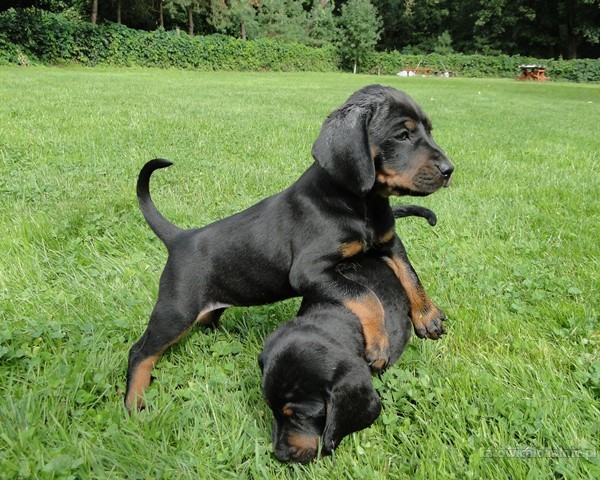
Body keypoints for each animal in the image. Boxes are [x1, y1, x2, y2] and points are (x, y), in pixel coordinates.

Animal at [125, 85, 453, 410]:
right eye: (402, 135)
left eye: (429, 131)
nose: (449, 170)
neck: (361, 205)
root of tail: (180, 238)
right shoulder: (308, 270)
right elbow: (364, 295)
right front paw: (379, 342)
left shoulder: (388, 242)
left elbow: (408, 272)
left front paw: (427, 316)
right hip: (176, 311)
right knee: (140, 351)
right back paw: (134, 402)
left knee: (205, 320)